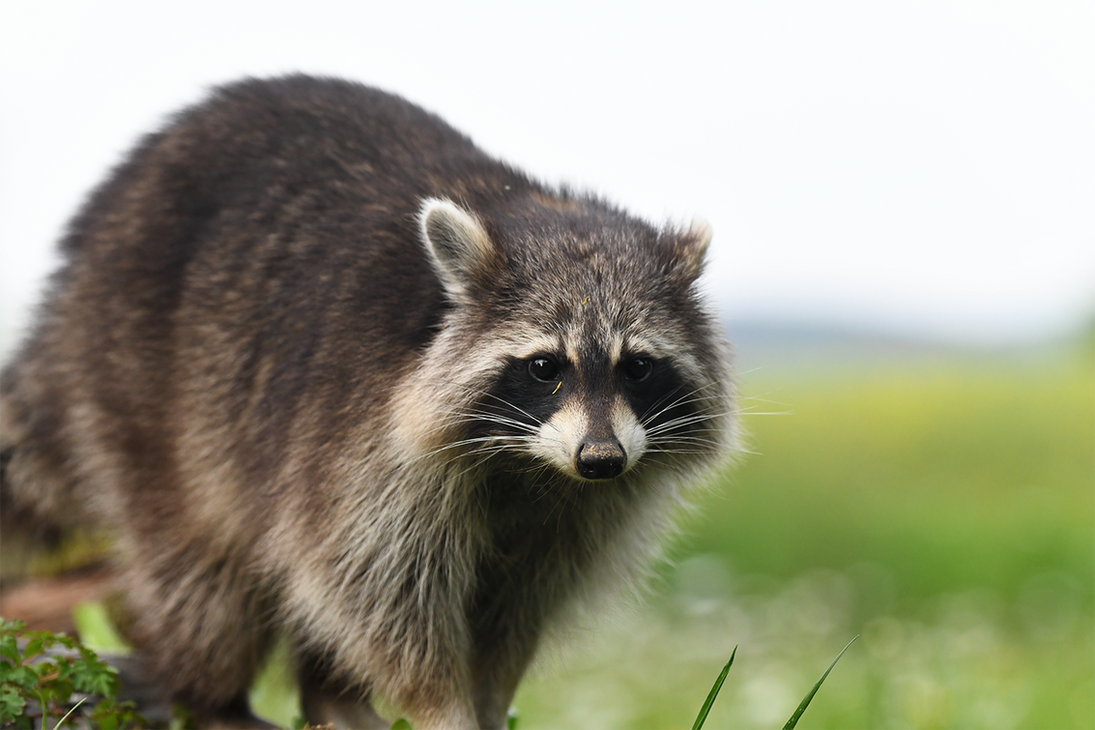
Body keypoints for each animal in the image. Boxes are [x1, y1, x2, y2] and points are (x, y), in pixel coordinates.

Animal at [0, 76, 735, 730]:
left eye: (637, 367)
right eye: (543, 368)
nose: (601, 458)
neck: (527, 464)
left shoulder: (579, 509)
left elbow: (513, 611)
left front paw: (488, 701)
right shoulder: (363, 441)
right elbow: (377, 595)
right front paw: (441, 708)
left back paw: (329, 698)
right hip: (141, 389)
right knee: (208, 575)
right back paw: (209, 697)